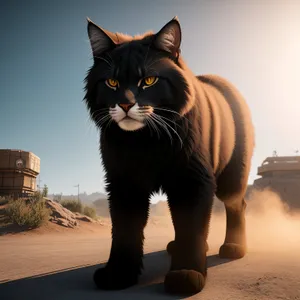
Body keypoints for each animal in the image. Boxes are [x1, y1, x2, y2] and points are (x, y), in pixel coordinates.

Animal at [83, 17, 254, 296]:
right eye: (112, 83)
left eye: (149, 80)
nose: (126, 105)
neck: (144, 141)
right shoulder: (123, 183)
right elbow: (124, 230)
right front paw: (118, 275)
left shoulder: (191, 180)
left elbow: (191, 226)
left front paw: (186, 275)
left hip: (231, 177)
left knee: (237, 204)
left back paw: (234, 248)